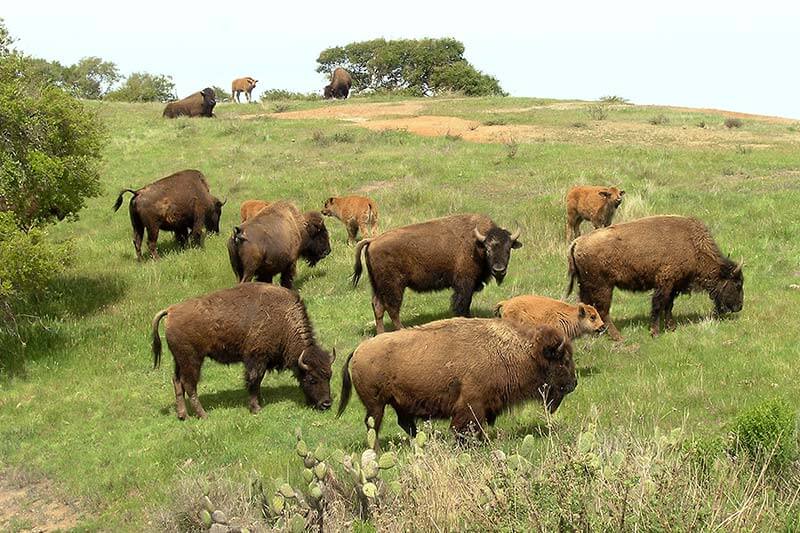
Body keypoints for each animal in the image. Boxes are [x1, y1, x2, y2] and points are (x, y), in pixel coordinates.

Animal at [152, 283, 335, 419]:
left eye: (329, 376)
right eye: (311, 379)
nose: (326, 403)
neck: (284, 319)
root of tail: (171, 310)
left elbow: (258, 382)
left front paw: (260, 401)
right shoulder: (256, 358)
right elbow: (254, 380)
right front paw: (256, 408)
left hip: (179, 360)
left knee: (177, 381)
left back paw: (183, 415)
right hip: (192, 360)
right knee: (189, 385)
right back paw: (203, 415)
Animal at [337, 318, 576, 448]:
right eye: (563, 360)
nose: (574, 383)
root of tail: (358, 350)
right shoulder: (471, 405)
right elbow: (465, 425)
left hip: (397, 404)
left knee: (404, 423)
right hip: (376, 405)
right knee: (373, 425)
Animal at [352, 214, 521, 333]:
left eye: (508, 248)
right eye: (488, 249)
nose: (499, 269)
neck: (476, 244)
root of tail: (373, 241)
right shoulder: (464, 284)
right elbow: (462, 304)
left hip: (377, 286)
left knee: (378, 307)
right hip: (394, 286)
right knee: (392, 308)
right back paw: (401, 329)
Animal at [565, 215, 744, 340]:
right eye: (738, 284)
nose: (739, 307)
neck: (693, 245)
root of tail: (577, 243)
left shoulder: (673, 287)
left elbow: (668, 306)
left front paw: (671, 328)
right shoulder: (664, 283)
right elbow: (658, 306)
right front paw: (655, 332)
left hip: (586, 285)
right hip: (603, 287)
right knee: (603, 310)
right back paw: (618, 337)